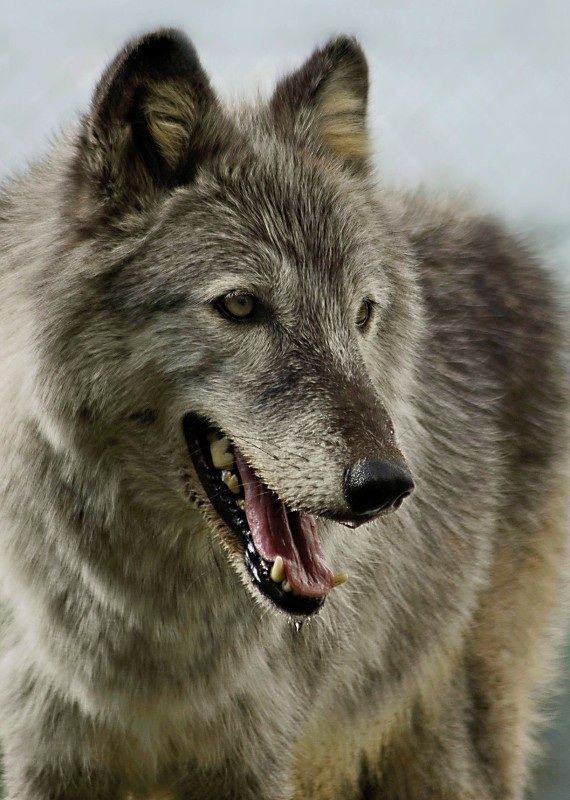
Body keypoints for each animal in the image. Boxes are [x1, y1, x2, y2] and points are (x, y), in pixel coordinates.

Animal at [0, 26, 564, 800]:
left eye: (362, 313)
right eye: (241, 305)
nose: (386, 485)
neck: (150, 646)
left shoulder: (255, 766)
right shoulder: (42, 763)